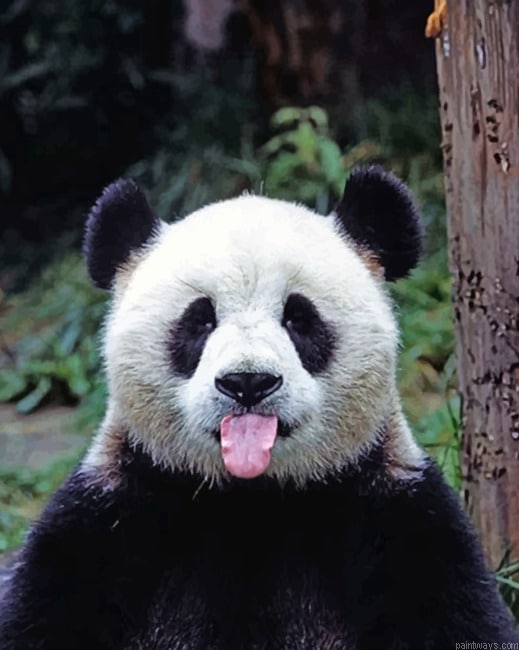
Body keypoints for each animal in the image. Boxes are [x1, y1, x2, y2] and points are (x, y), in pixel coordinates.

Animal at [0, 166, 517, 649]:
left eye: (299, 318)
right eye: (200, 320)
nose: (247, 382)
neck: (252, 500)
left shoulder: (401, 520)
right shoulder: (106, 521)